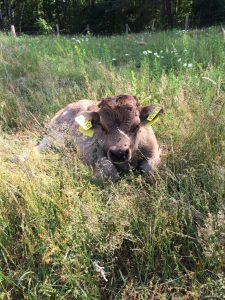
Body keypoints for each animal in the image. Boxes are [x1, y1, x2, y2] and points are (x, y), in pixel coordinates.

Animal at [36, 95, 164, 180]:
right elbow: (110, 170)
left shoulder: (154, 153)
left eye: (136, 126)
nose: (119, 153)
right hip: (53, 138)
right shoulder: (90, 153)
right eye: (102, 127)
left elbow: (150, 168)